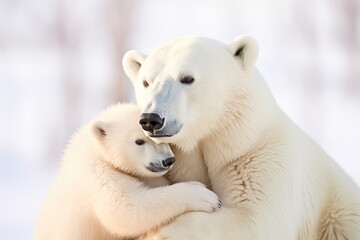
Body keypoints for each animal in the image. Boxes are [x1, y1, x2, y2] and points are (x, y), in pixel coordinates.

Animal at [33, 103, 221, 240]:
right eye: (139, 141)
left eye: (161, 139)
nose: (168, 160)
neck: (95, 148)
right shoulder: (98, 176)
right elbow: (126, 209)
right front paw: (204, 196)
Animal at [123, 35, 360, 240]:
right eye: (146, 82)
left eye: (187, 78)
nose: (151, 119)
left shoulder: (258, 155)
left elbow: (254, 219)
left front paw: (160, 232)